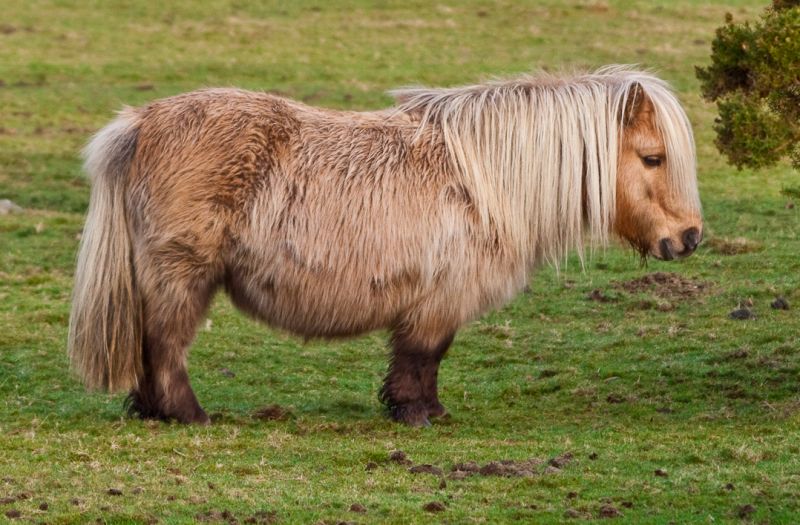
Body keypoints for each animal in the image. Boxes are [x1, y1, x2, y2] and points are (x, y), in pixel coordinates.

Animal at [72, 65, 704, 426]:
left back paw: (153, 413)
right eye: (653, 158)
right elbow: (423, 357)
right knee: (165, 345)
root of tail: (139, 123)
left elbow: (421, 358)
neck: (488, 179)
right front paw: (418, 414)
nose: (689, 237)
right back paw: (188, 415)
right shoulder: (440, 299)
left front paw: (420, 410)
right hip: (182, 274)